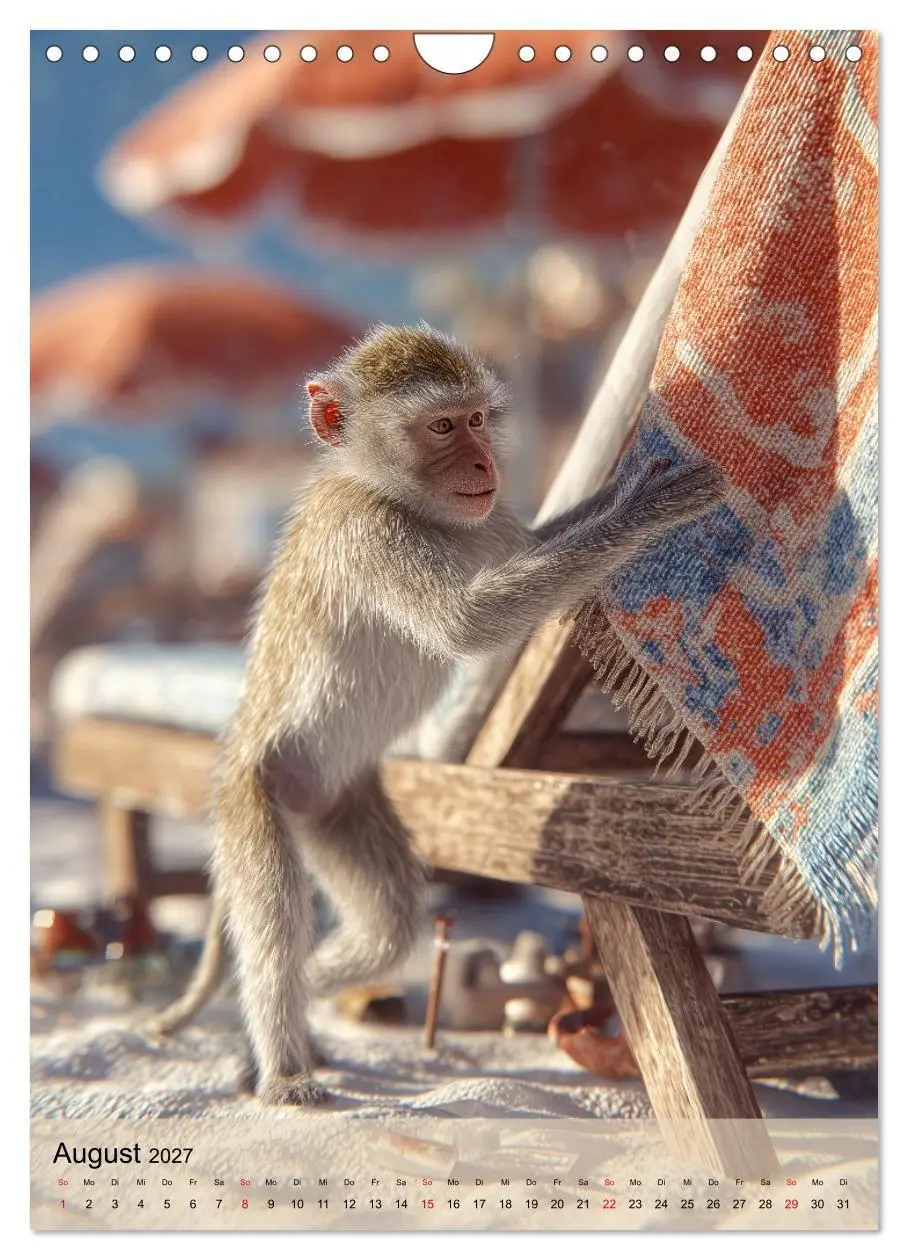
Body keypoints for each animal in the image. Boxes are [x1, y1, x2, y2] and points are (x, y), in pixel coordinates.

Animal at [151, 323, 724, 1107]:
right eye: (442, 427)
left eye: (478, 418)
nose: (484, 460)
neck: (402, 501)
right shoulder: (369, 534)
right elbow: (467, 623)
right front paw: (647, 509)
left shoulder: (493, 519)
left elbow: (537, 550)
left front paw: (616, 490)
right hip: (253, 793)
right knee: (274, 926)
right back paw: (281, 1064)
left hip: (334, 803)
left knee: (387, 926)